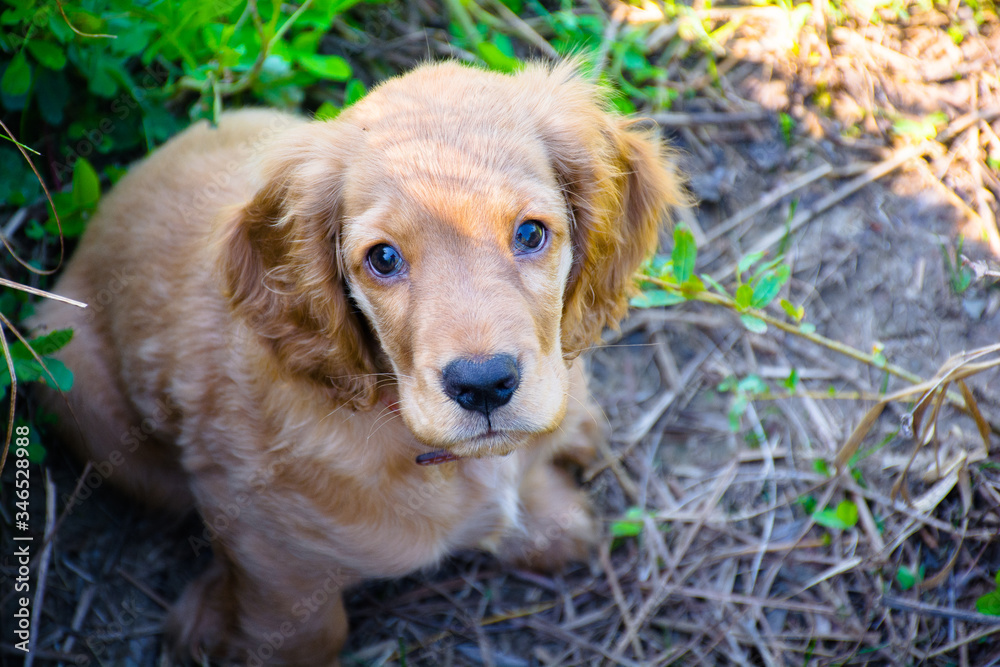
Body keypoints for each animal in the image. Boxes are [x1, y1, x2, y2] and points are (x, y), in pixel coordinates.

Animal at [33, 61, 688, 664]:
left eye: (530, 233)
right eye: (384, 259)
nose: (483, 386)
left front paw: (554, 518)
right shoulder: (265, 546)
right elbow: (306, 633)